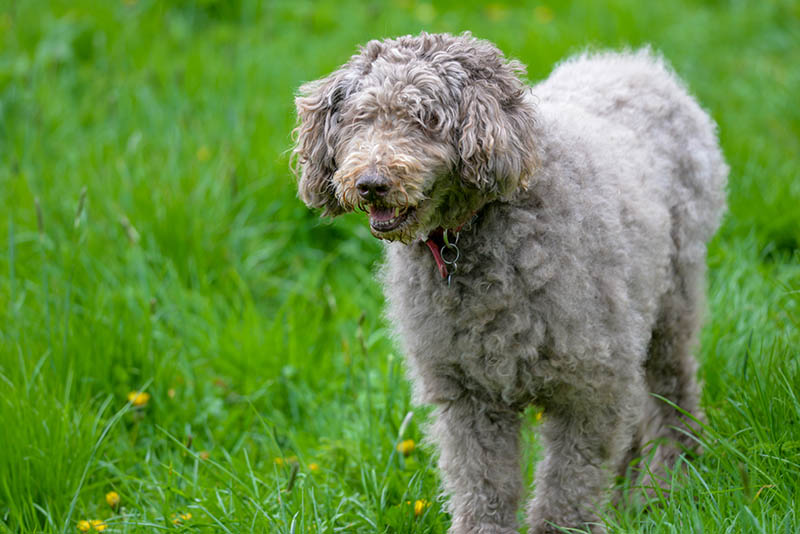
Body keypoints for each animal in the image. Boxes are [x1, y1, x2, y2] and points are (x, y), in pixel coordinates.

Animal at [292, 32, 724, 534]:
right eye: (359, 119)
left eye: (426, 120)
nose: (371, 183)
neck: (471, 235)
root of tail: (636, 64)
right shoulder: (469, 393)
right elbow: (483, 485)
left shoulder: (592, 385)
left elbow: (568, 486)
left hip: (673, 300)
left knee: (673, 391)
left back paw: (669, 482)